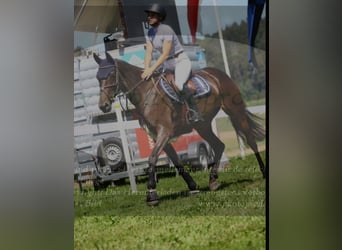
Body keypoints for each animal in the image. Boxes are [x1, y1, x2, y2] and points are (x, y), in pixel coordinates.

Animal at [94, 52, 268, 205]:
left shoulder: (164, 133)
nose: (103, 106)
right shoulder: (158, 136)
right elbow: (176, 161)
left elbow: (152, 159)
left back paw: (263, 171)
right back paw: (213, 180)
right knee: (219, 145)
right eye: (97, 77)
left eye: (110, 74)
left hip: (235, 111)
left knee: (250, 140)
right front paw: (193, 186)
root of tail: (217, 73)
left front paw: (151, 194)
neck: (146, 94)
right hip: (202, 126)